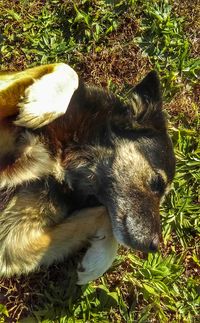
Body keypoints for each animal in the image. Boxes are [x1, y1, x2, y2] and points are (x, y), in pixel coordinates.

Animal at [0, 62, 175, 284]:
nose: (154, 246)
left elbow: (104, 214)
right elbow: (67, 69)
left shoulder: (13, 243)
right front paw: (41, 104)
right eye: (157, 183)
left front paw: (98, 261)